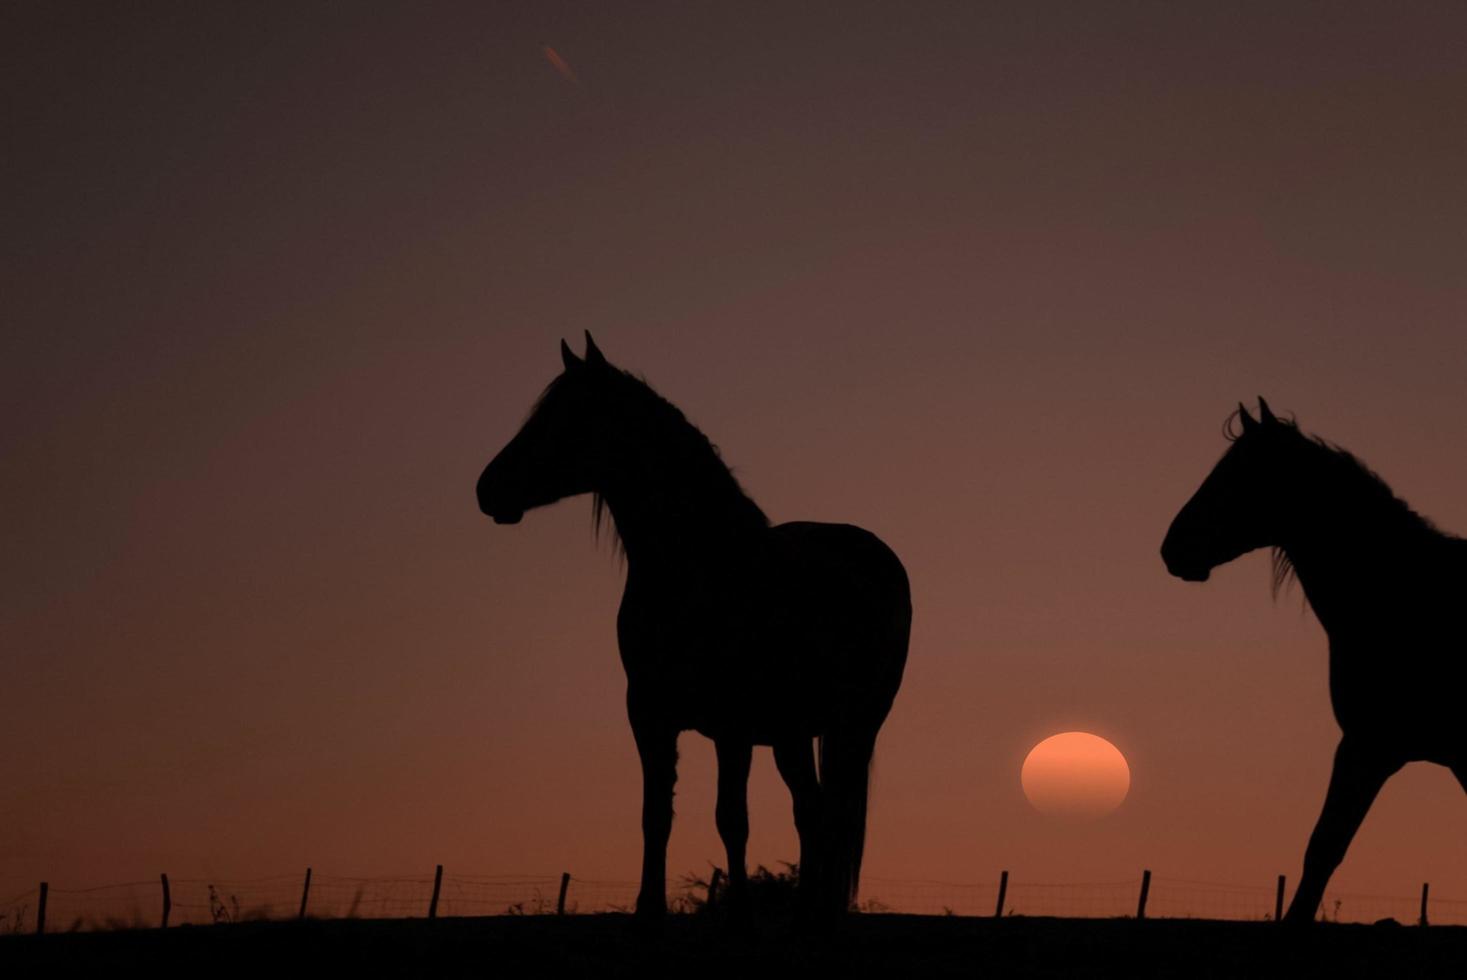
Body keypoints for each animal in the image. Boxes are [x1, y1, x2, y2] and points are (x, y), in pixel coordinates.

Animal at [475, 334, 909, 921]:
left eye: (566, 417)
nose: (487, 489)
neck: (699, 566)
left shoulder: (733, 725)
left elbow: (732, 819)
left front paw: (740, 908)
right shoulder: (648, 714)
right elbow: (655, 815)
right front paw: (648, 905)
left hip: (855, 726)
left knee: (832, 815)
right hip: (793, 735)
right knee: (811, 811)